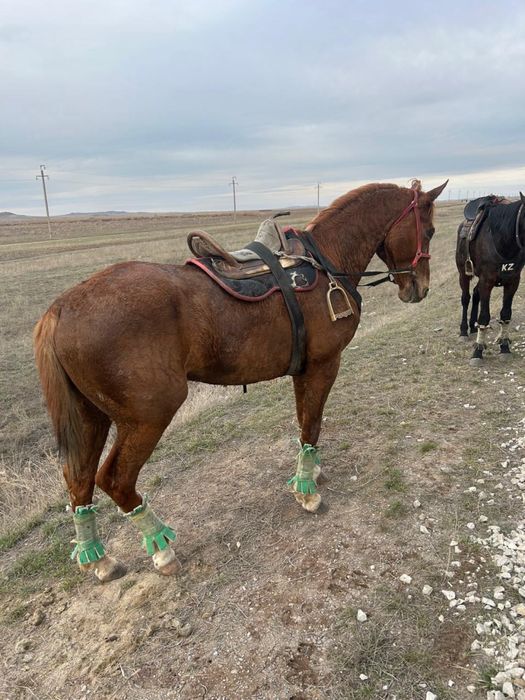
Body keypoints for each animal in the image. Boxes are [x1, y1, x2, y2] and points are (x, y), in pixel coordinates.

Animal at [34, 179, 447, 583]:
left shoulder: (304, 370)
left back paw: (97, 559)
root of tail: (61, 308)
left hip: (90, 416)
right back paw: (161, 547)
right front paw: (307, 491)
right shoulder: (323, 365)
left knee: (79, 480)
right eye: (428, 230)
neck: (325, 261)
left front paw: (310, 472)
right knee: (116, 480)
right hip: (148, 417)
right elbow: (312, 424)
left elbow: (305, 423)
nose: (420, 288)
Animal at [456, 193, 525, 365]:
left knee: (475, 294)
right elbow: (484, 316)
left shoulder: (513, 281)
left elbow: (506, 314)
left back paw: (473, 327)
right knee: (466, 298)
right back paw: (464, 331)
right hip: (463, 273)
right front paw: (477, 351)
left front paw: (505, 347)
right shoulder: (486, 281)